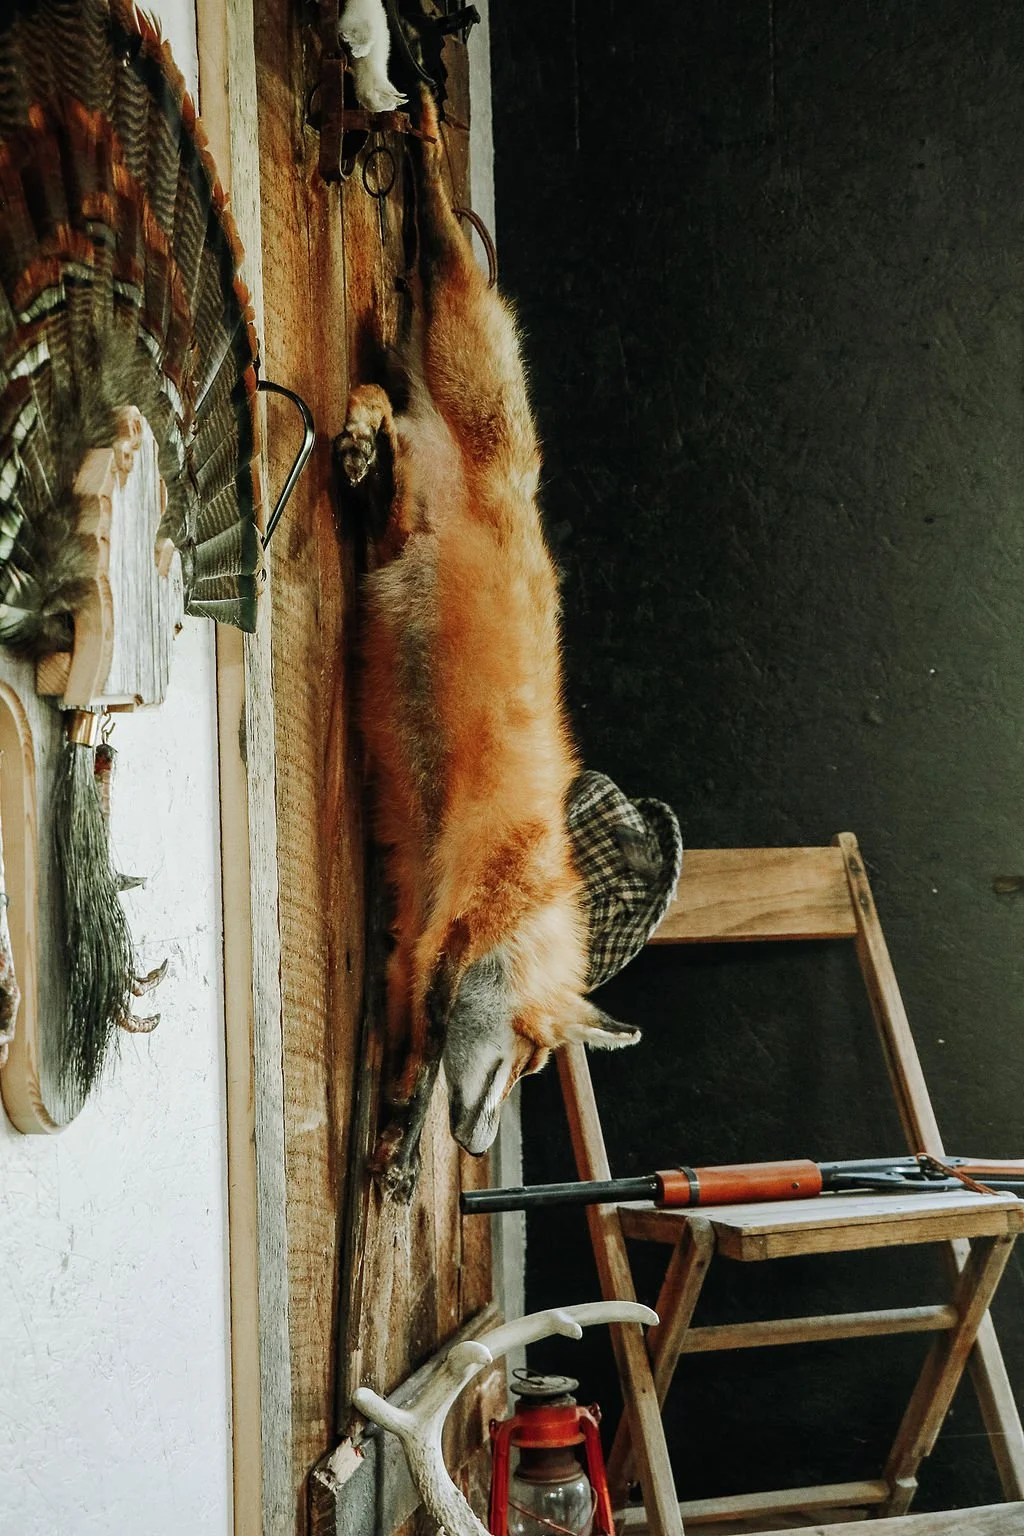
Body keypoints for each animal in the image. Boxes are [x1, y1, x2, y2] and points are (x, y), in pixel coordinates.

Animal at [337, 91, 639, 1187]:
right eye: (518, 1057)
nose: (478, 1144)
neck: (521, 872)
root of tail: (511, 476)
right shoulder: (437, 938)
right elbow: (419, 1058)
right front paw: (402, 1141)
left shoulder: (415, 937)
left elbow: (411, 1062)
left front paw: (397, 1146)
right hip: (469, 337)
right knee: (436, 250)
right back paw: (418, 126)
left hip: (418, 454)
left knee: (384, 405)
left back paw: (366, 440)